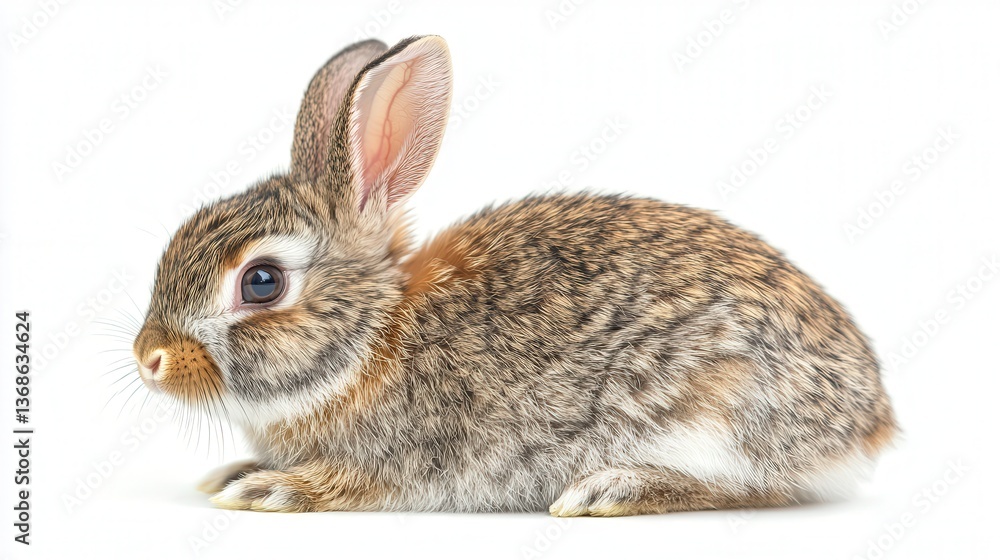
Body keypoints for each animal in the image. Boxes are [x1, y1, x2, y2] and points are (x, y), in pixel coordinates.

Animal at [132, 35, 897, 516]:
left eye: (261, 282)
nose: (149, 358)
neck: (369, 341)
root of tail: (872, 421)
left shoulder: (403, 459)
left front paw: (268, 490)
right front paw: (235, 473)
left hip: (719, 408)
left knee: (756, 489)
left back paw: (613, 490)